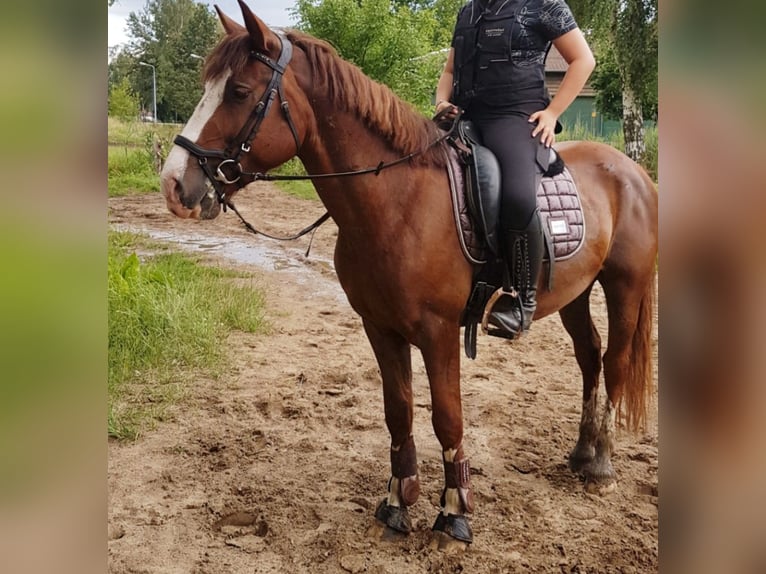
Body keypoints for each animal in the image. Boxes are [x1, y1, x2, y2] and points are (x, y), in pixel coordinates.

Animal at [160, 0, 660, 548]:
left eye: (239, 92)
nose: (173, 185)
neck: (398, 202)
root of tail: (633, 171)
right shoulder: (380, 329)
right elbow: (397, 411)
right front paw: (399, 501)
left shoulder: (438, 334)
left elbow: (447, 418)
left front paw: (454, 514)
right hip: (574, 292)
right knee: (589, 358)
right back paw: (582, 452)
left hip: (625, 286)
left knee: (614, 362)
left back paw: (602, 465)